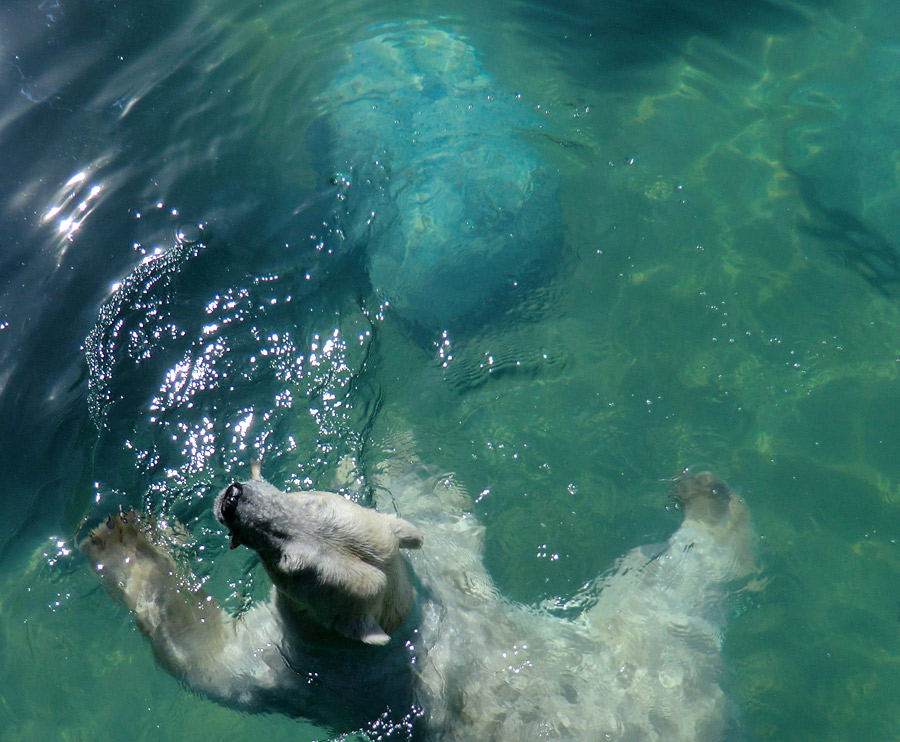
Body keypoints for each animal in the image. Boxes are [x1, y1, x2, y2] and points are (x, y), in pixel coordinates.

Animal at [81, 464, 760, 740]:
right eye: (308, 499)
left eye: (296, 565)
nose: (235, 499)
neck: (402, 624)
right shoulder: (446, 572)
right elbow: (436, 511)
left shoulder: (313, 670)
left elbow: (207, 661)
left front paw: (119, 540)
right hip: (638, 626)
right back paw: (710, 496)